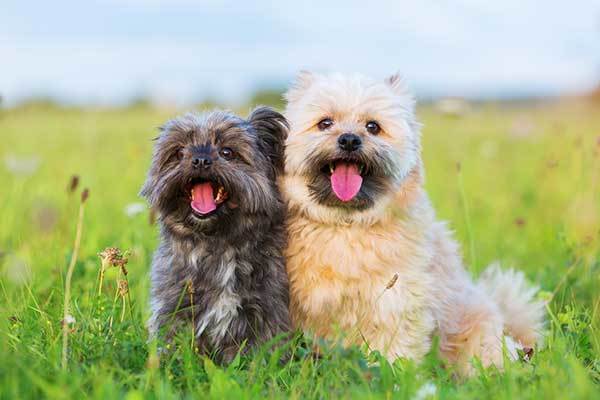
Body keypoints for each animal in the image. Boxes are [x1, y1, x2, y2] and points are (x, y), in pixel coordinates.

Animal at [141, 107, 290, 362]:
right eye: (179, 152)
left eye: (227, 152)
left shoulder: (267, 309)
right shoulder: (175, 305)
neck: (217, 242)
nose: (200, 159)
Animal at [282, 70, 544, 374]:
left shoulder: (396, 302)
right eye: (325, 123)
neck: (345, 226)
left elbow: (394, 353)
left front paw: (393, 376)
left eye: (373, 126)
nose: (349, 140)